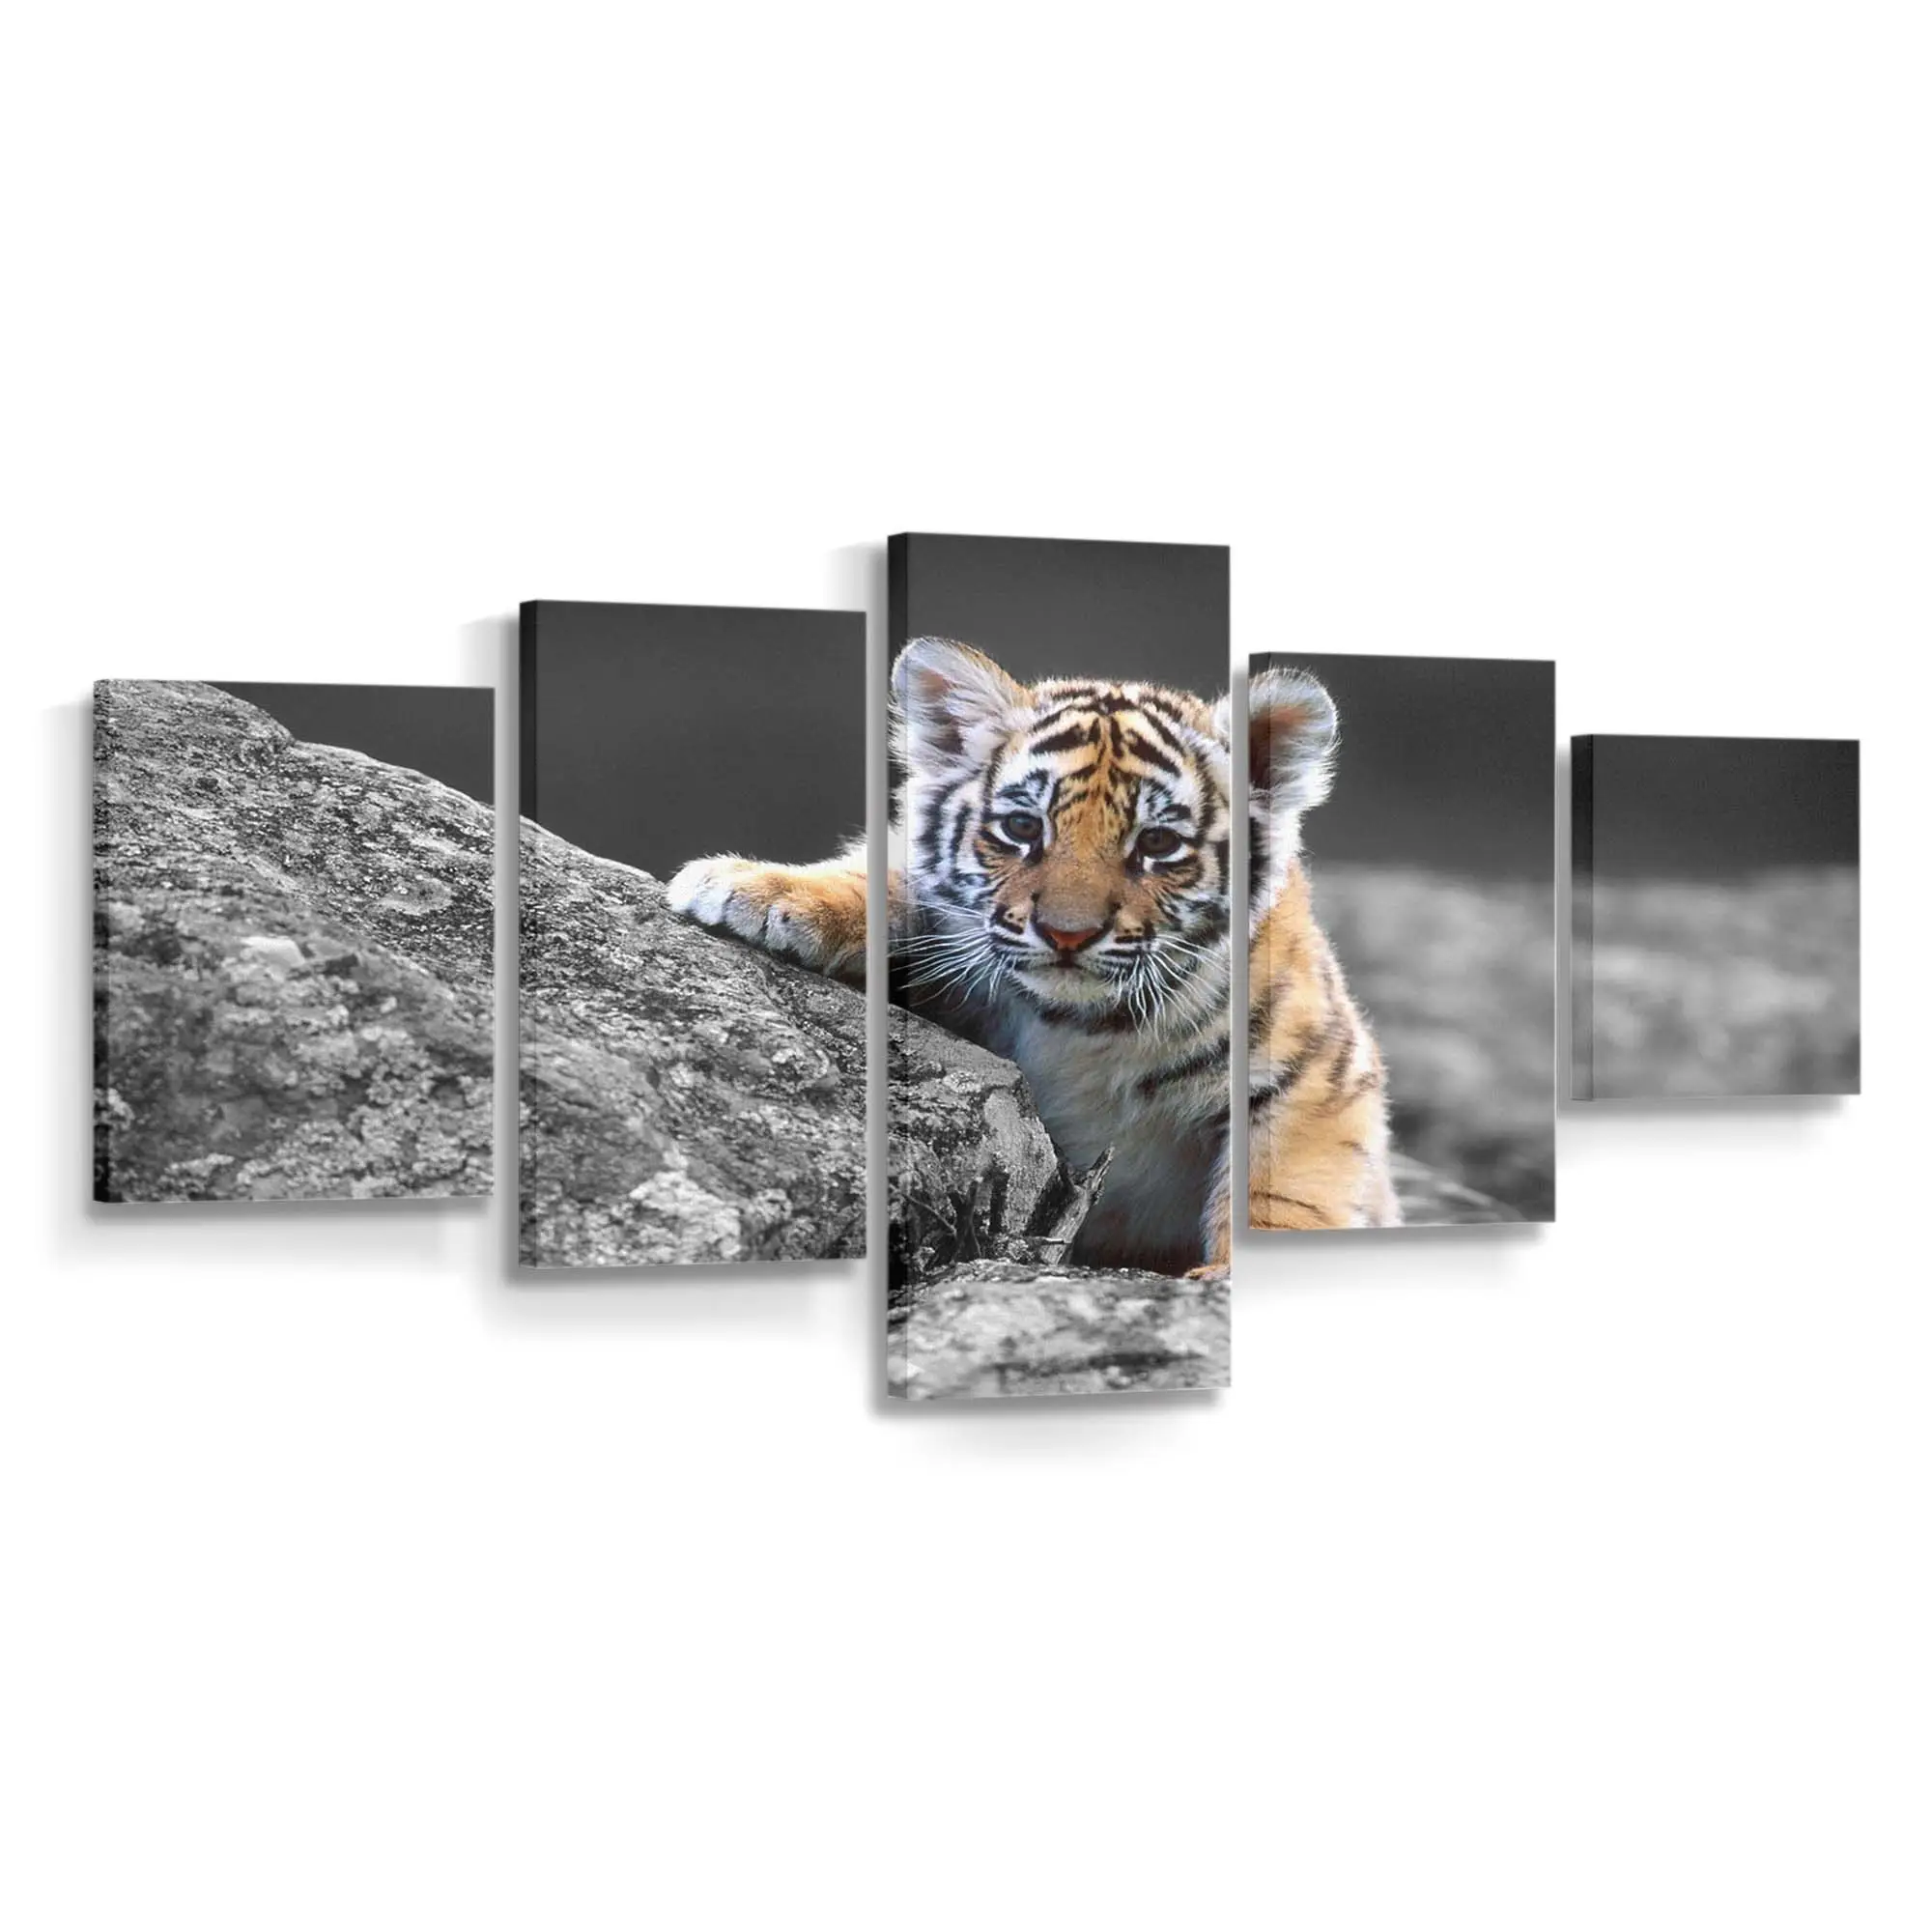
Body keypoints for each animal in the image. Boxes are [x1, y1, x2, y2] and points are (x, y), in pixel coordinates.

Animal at [666, 639, 1398, 1272]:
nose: (1067, 934)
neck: (1081, 1029)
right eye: (1023, 828)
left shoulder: (1317, 1077)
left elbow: (1282, 1195)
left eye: (1157, 844)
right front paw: (753, 888)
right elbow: (884, 881)